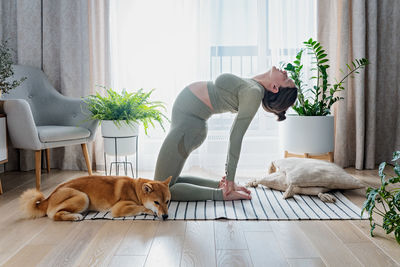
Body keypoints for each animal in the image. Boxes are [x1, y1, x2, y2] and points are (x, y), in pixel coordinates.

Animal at [19, 176, 172, 222]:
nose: (166, 216)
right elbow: (141, 207)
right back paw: (75, 216)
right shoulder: (118, 209)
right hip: (83, 197)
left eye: (167, 201)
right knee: (54, 215)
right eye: (156, 202)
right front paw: (151, 211)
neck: (135, 190)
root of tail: (49, 197)